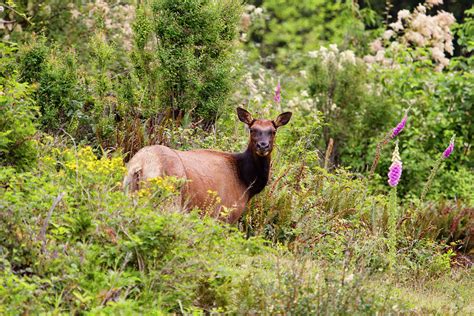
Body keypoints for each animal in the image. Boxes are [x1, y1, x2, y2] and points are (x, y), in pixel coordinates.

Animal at [124, 107, 290, 223]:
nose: (263, 145)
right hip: (169, 200)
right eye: (252, 129)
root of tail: (140, 166)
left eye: (273, 131)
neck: (246, 184)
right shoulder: (225, 214)